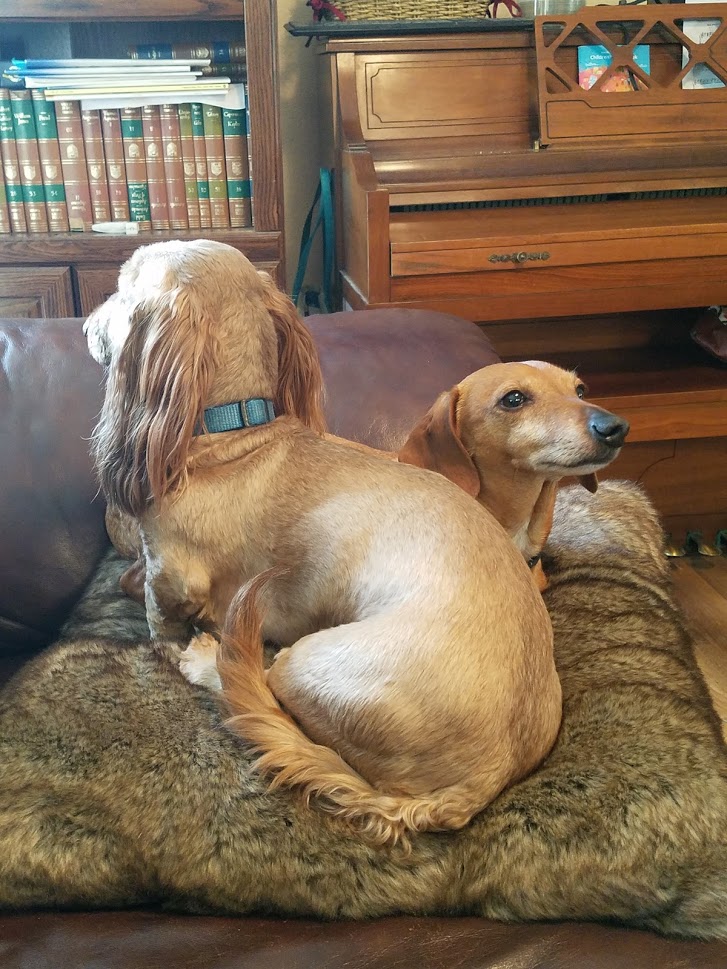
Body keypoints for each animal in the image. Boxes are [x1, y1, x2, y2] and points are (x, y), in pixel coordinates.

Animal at [85, 239, 561, 847]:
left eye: (121, 288)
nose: (84, 325)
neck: (236, 431)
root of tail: (481, 781)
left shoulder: (169, 575)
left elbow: (155, 615)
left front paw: (169, 643)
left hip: (304, 662)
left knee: (253, 679)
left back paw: (208, 659)